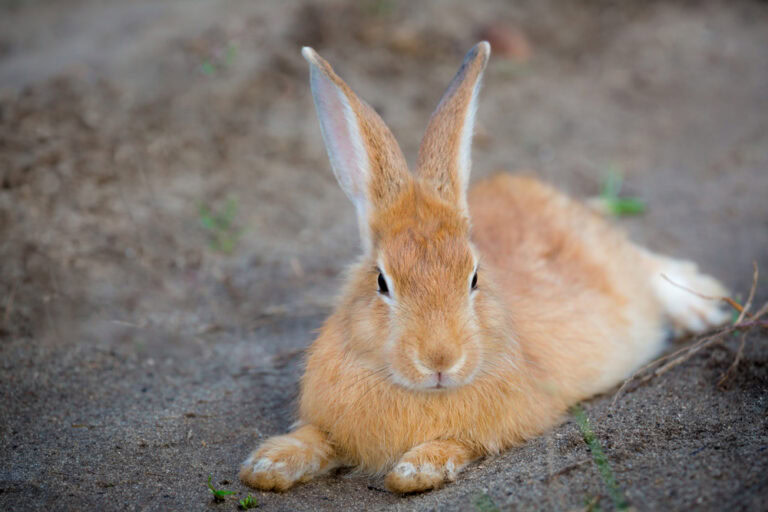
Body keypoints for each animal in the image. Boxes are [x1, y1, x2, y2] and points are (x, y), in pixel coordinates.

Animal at [239, 42, 729, 494]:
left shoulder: (504, 422)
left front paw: (417, 470)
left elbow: (460, 443)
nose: (441, 361)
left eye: (474, 278)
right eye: (382, 282)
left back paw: (701, 308)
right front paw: (267, 466)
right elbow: (313, 436)